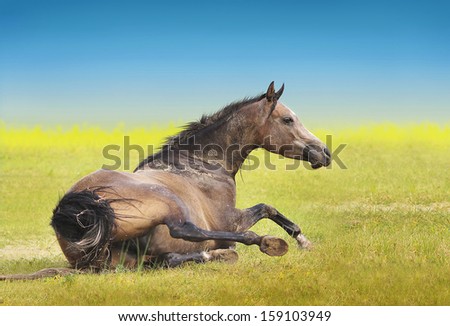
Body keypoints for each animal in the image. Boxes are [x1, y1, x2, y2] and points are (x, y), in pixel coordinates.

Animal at [0, 82, 330, 280]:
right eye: (288, 119)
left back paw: (217, 254)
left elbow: (270, 209)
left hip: (127, 260)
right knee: (185, 230)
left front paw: (304, 241)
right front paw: (298, 241)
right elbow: (266, 208)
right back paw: (262, 243)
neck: (203, 163)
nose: (325, 153)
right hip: (166, 201)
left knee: (169, 258)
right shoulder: (230, 220)